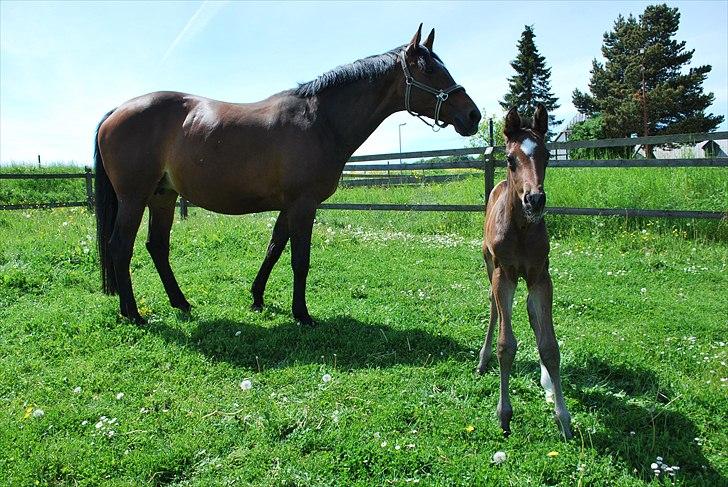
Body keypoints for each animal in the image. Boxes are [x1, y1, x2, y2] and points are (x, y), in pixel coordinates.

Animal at [92, 24, 478, 326]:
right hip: (134, 197)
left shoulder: (288, 206)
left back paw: (180, 303)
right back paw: (133, 313)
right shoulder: (304, 204)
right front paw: (302, 314)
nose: (472, 116)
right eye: (431, 72)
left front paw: (257, 297)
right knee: (120, 246)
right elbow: (299, 259)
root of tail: (117, 110)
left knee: (157, 246)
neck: (320, 120)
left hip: (163, 197)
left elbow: (274, 248)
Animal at [478, 105, 576, 440]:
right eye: (510, 159)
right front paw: (504, 414)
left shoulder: (541, 277)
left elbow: (550, 346)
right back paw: (481, 360)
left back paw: (547, 384)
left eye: (546, 155)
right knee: (494, 309)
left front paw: (563, 417)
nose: (534, 200)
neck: (521, 230)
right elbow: (506, 345)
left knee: (534, 316)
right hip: (489, 265)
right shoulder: (504, 275)